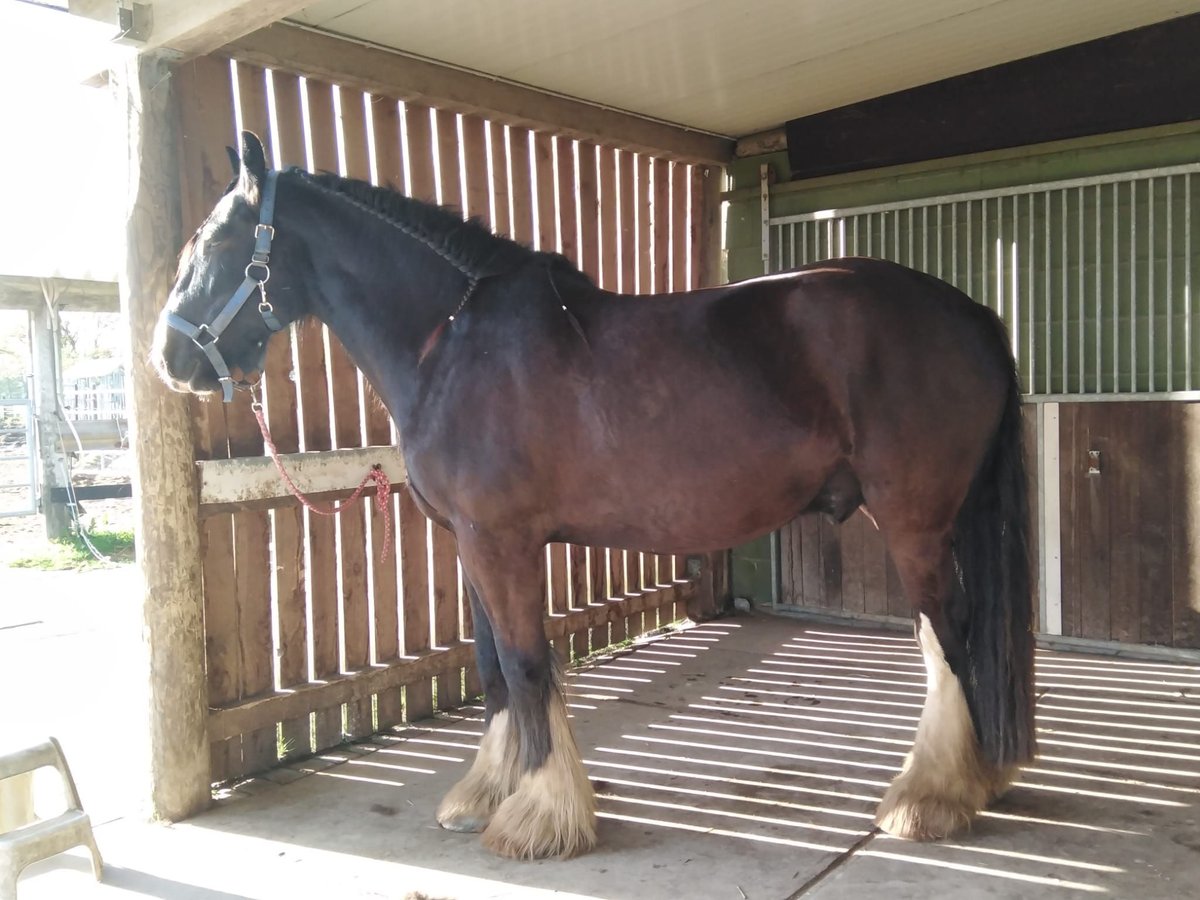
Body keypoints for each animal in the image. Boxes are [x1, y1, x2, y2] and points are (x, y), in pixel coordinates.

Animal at [151, 131, 1036, 860]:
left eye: (217, 241)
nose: (168, 358)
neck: (454, 340)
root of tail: (971, 311)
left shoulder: (501, 542)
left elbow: (526, 665)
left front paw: (540, 816)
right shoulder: (473, 543)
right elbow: (494, 668)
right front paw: (488, 792)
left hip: (915, 523)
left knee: (948, 636)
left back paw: (930, 800)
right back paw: (975, 780)